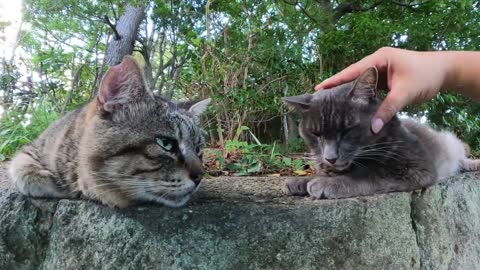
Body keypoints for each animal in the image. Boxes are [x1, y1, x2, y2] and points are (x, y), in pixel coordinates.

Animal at [284, 67, 478, 198]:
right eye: (316, 134)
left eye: (347, 130)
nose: (330, 158)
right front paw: (301, 181)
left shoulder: (417, 167)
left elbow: (371, 174)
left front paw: (328, 183)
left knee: (461, 157)